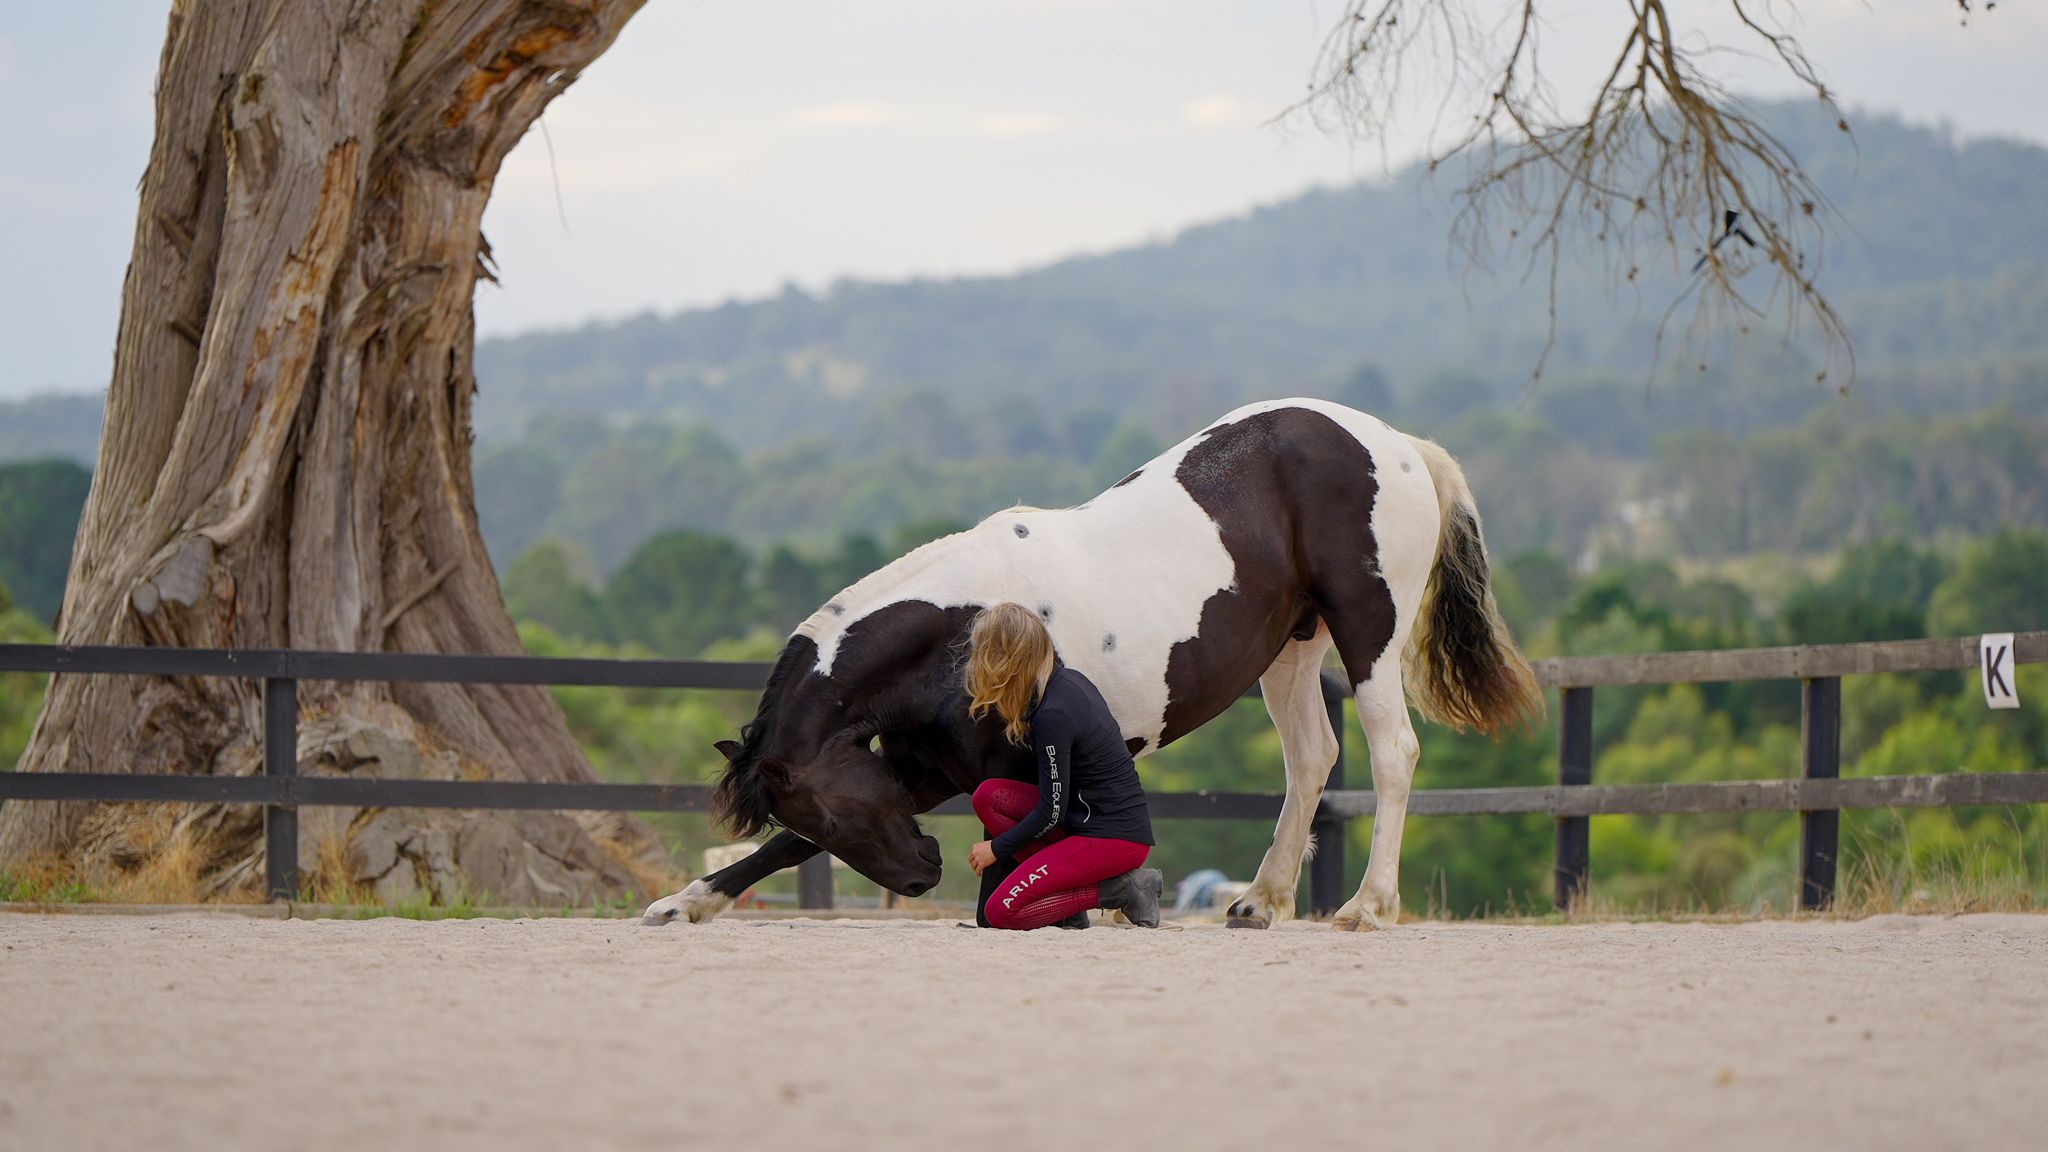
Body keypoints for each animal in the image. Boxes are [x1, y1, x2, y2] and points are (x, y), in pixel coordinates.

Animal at [642, 397, 1541, 929]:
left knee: (1392, 753)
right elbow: (781, 854)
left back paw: (1367, 906)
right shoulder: (923, 774)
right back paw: (1259, 900)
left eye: (829, 809)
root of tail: (1397, 444)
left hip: (1367, 631)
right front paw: (684, 904)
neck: (961, 632)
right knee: (1312, 760)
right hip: (1292, 648)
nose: (924, 873)